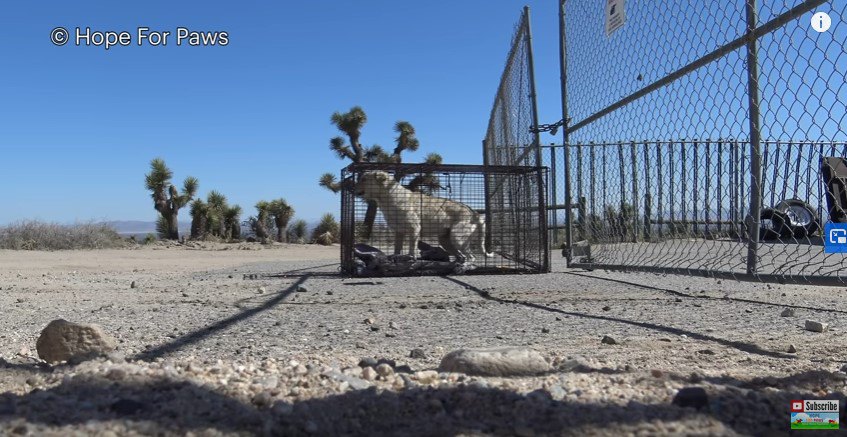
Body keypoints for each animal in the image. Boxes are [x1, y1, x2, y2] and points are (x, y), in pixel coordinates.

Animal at [354, 171, 494, 262]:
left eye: (364, 179)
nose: (352, 187)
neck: (386, 199)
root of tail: (474, 213)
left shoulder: (414, 228)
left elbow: (412, 245)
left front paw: (411, 257)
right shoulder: (398, 231)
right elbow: (397, 246)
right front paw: (395, 256)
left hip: (458, 237)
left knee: (471, 257)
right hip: (445, 240)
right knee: (461, 255)